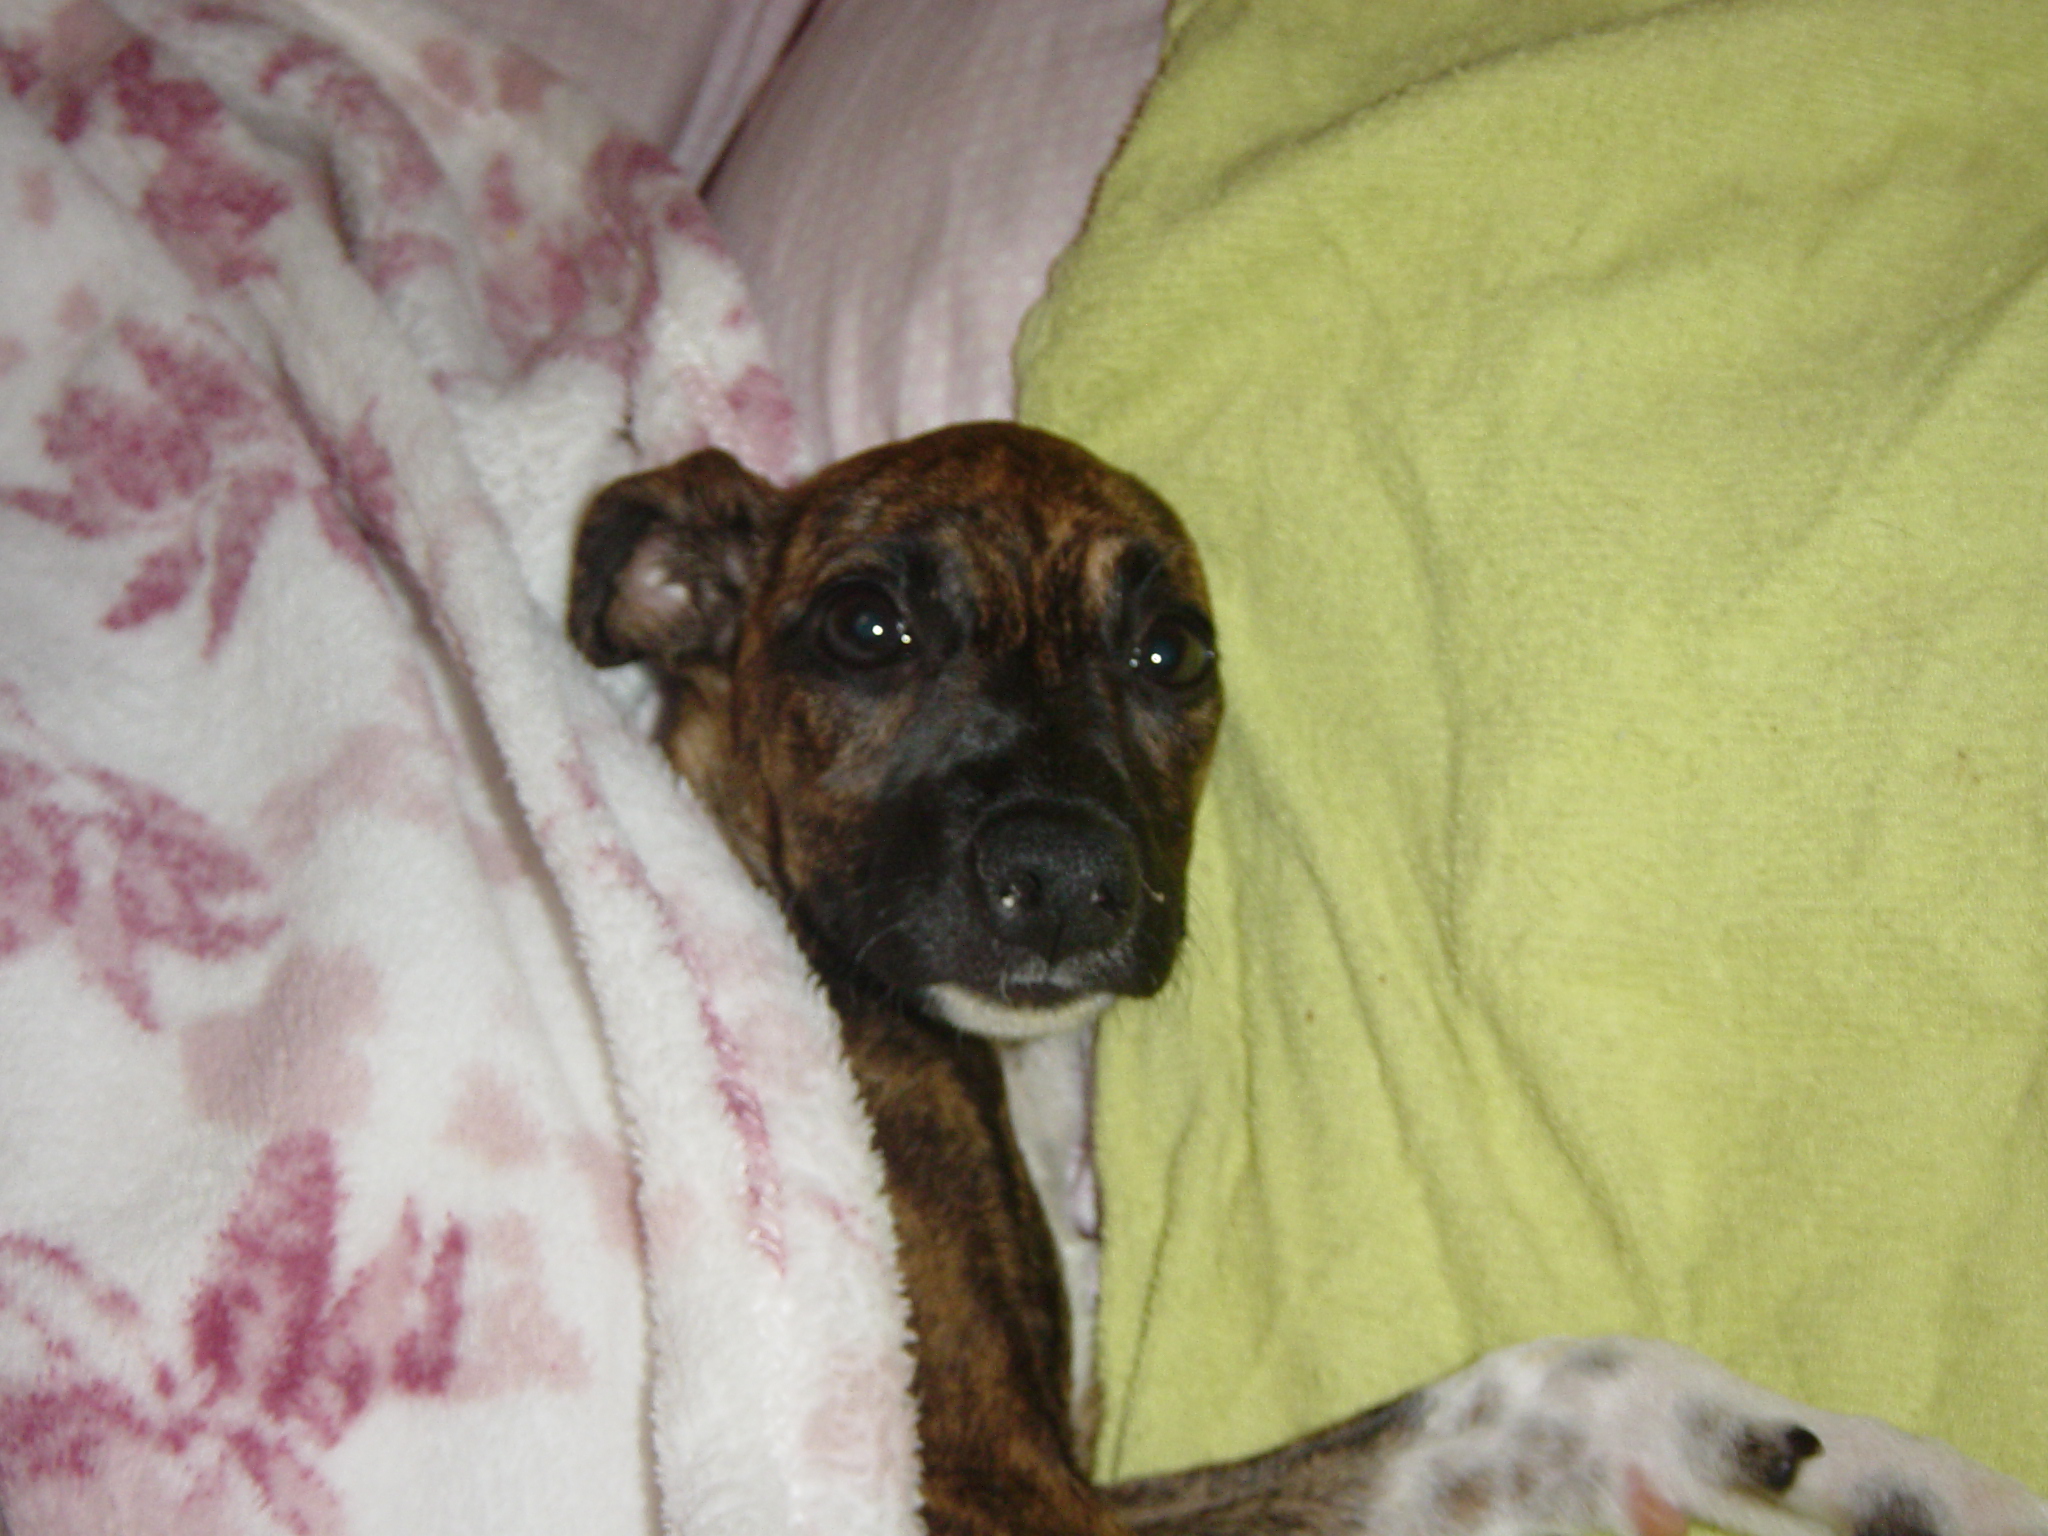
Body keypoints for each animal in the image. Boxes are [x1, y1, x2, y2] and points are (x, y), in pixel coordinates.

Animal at [569, 422, 2046, 1536]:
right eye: (866, 626)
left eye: (1171, 650)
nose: (1066, 877)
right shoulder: (1004, 1491)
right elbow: (1525, 1391)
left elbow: (1503, 1408)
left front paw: (1883, 1476)